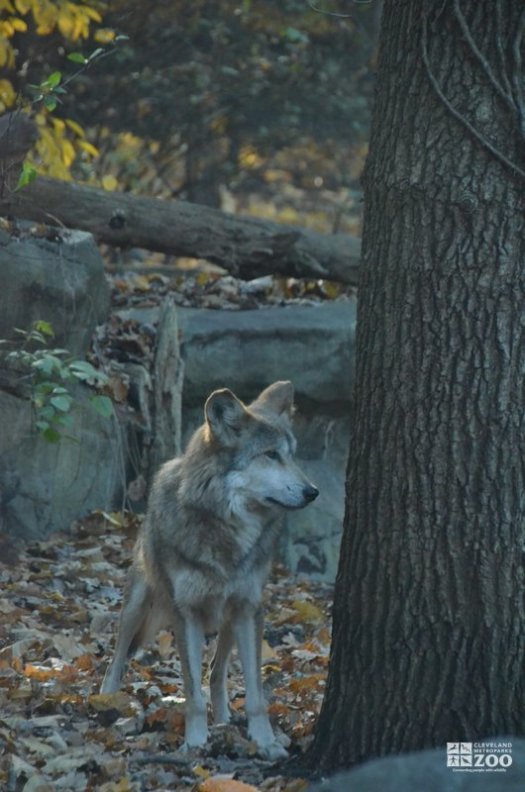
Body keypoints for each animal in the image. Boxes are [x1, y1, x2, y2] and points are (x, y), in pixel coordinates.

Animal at [100, 382, 318, 760]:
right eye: (271, 455)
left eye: (291, 455)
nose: (313, 491)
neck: (225, 530)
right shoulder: (185, 614)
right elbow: (192, 690)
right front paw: (195, 742)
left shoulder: (249, 609)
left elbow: (255, 694)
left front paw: (266, 742)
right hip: (136, 607)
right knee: (117, 660)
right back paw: (106, 700)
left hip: (229, 622)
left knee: (216, 673)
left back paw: (225, 719)